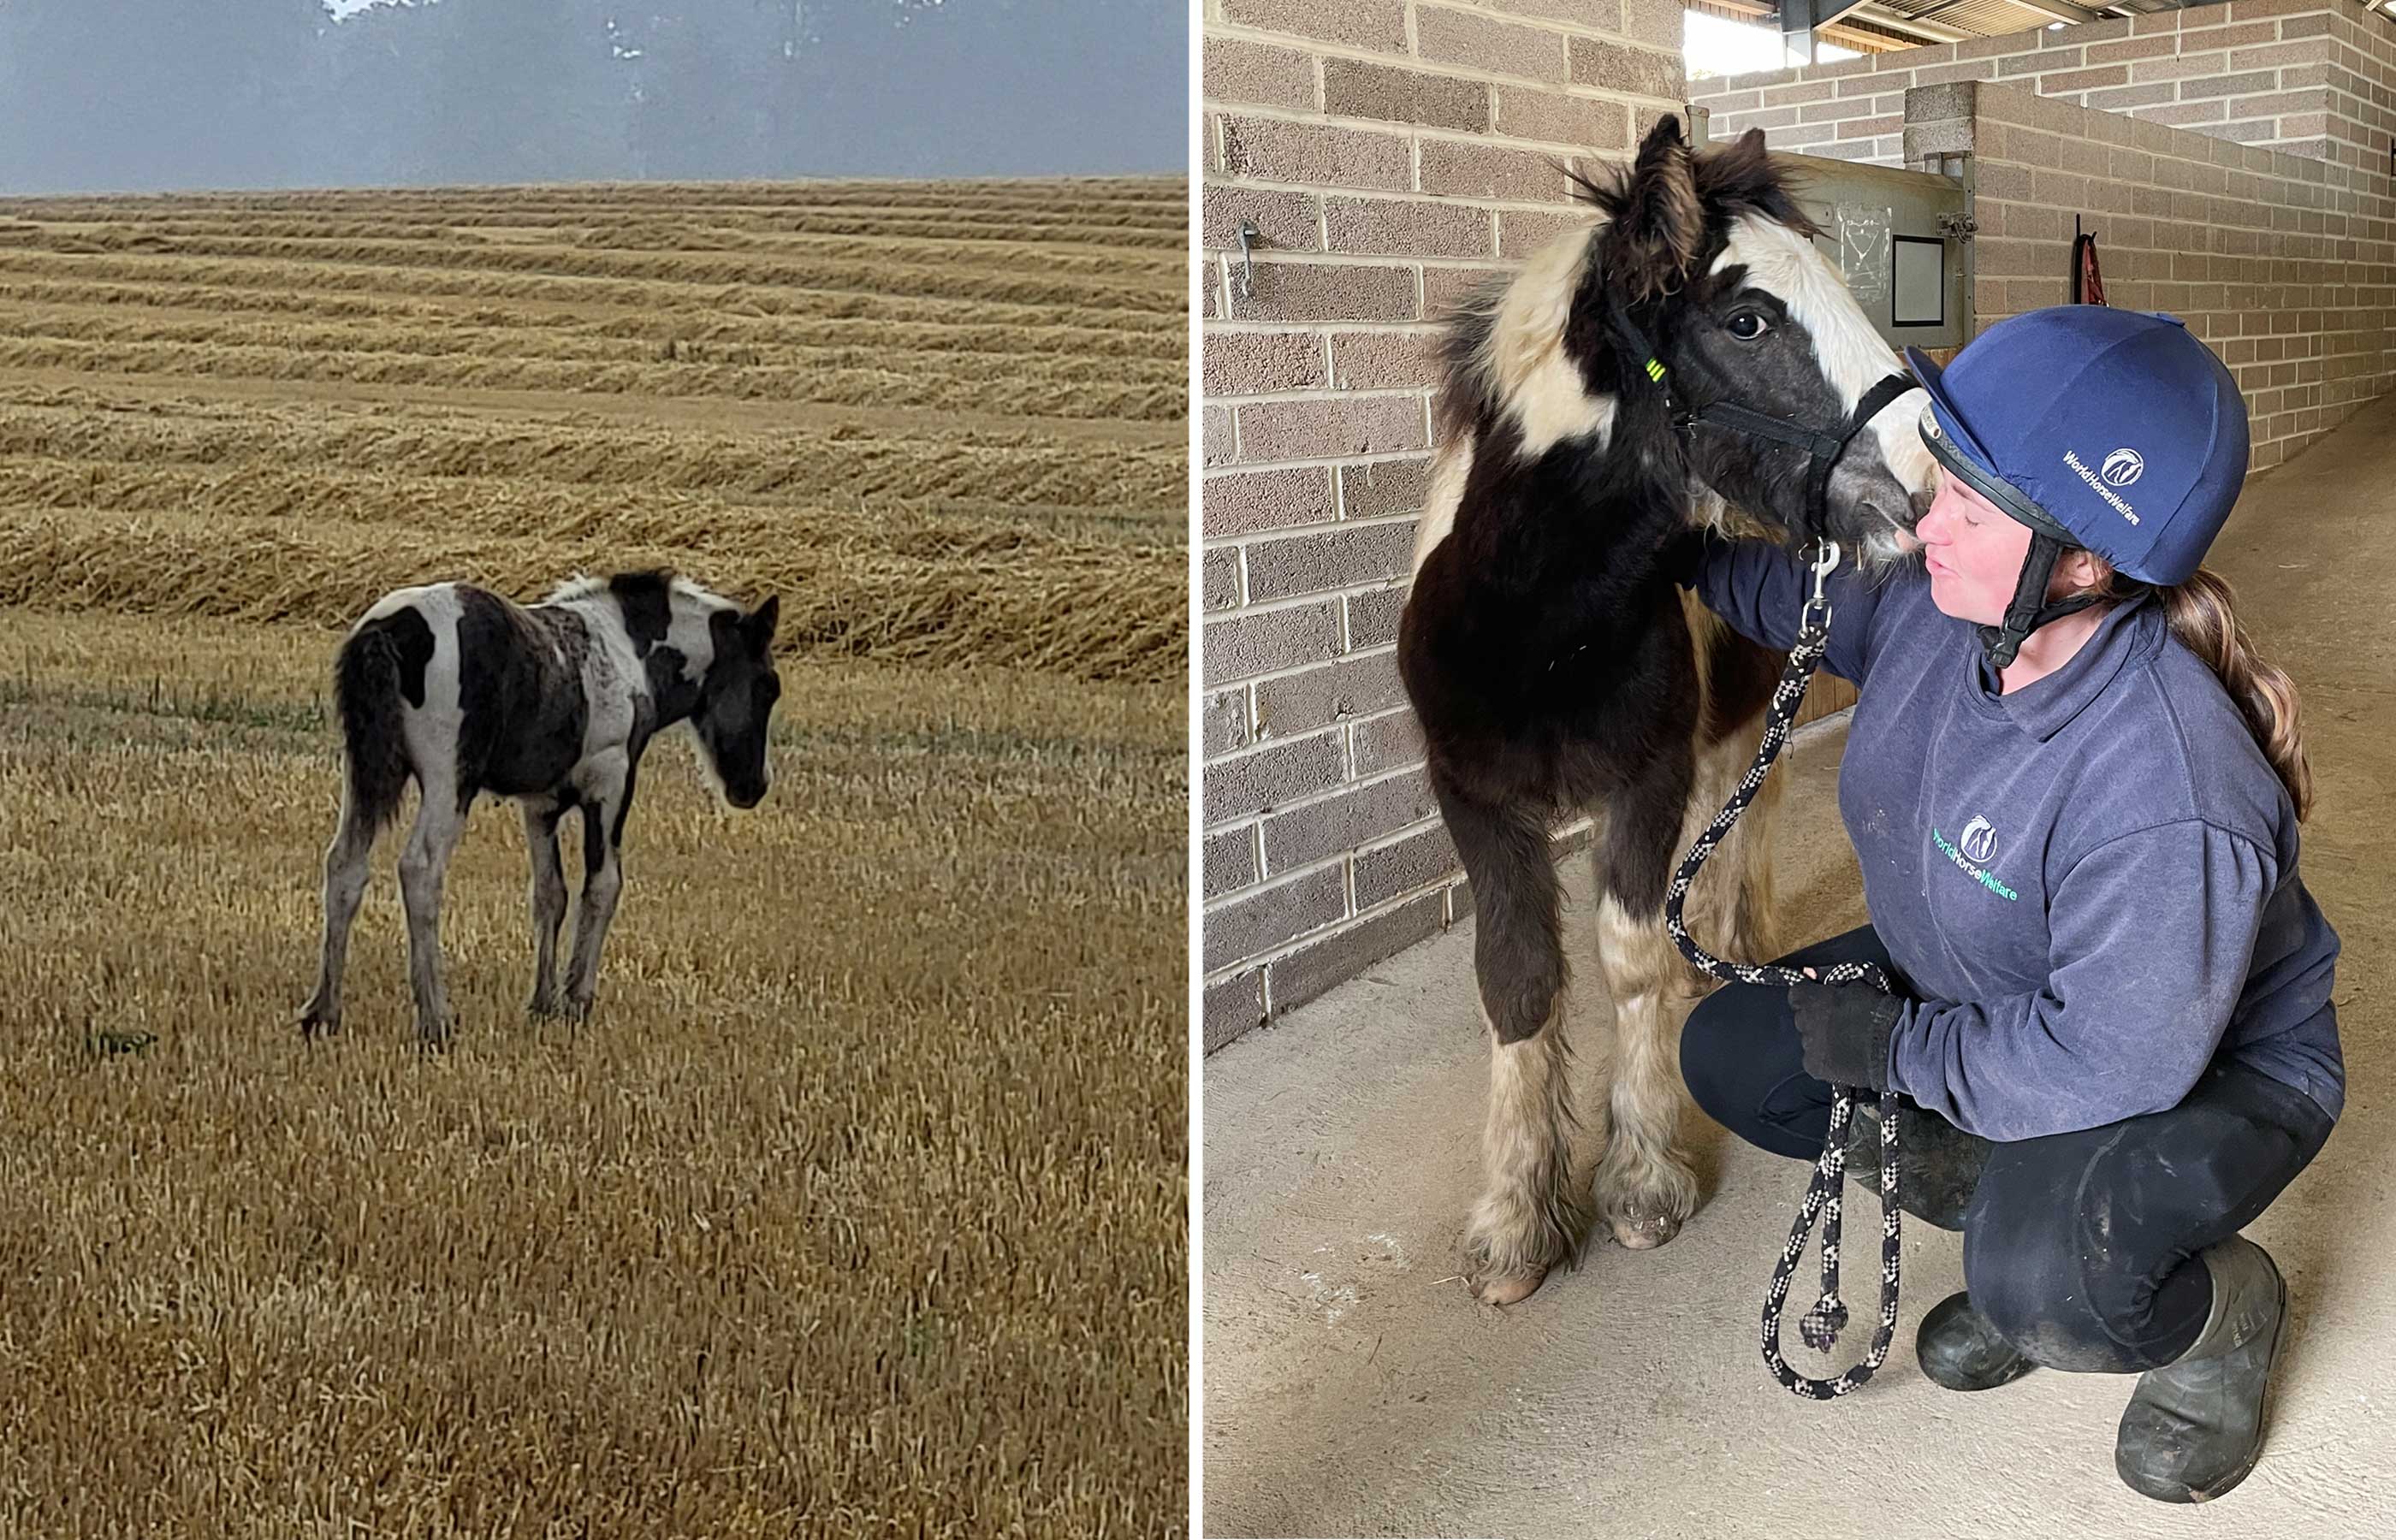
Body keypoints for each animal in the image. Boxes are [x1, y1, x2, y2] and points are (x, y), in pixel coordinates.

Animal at [299, 570, 783, 1047]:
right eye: (768, 688)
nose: (752, 787)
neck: (629, 653)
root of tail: (387, 629)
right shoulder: (610, 782)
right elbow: (603, 886)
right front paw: (577, 1001)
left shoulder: (540, 807)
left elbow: (550, 894)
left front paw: (543, 1003)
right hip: (448, 780)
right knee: (420, 869)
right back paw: (436, 1020)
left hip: (365, 770)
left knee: (344, 865)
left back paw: (322, 1013)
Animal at [1396, 117, 1936, 1306]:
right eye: (1746, 319)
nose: (1930, 485)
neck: (1534, 628)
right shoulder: (1475, 801)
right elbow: (1518, 979)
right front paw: (1515, 1224)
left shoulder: (1645, 778)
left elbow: (1631, 955)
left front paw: (1641, 1181)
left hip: (1751, 705)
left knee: (1751, 810)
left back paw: (1730, 941)